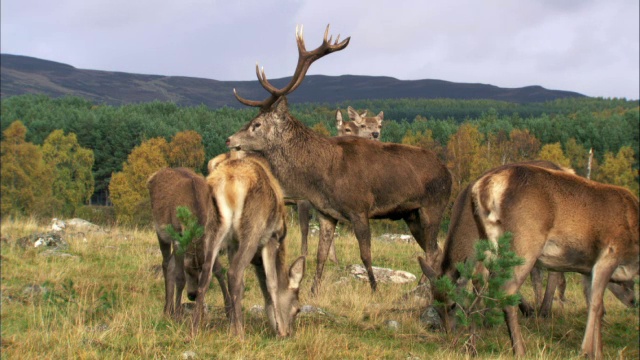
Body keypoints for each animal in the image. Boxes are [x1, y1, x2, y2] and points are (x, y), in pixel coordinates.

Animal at [148, 169, 232, 320]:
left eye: (203, 273)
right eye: (188, 270)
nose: (192, 295)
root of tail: (154, 175)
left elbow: (218, 270)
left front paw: (228, 310)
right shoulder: (178, 237)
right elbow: (180, 277)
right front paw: (177, 314)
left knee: (170, 264)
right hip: (160, 230)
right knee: (165, 264)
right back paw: (167, 309)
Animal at [198, 153, 308, 338]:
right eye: (297, 309)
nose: (289, 333)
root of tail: (228, 180)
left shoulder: (233, 243)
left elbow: (243, 286)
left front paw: (231, 326)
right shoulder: (271, 238)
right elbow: (272, 282)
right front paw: (278, 329)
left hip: (213, 227)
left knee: (207, 272)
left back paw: (195, 330)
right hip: (253, 229)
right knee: (233, 273)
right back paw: (240, 334)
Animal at [428, 165, 636, 358]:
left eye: (452, 305)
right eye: (436, 308)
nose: (634, 300)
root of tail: (486, 187)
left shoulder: (588, 268)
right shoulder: (609, 253)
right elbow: (597, 304)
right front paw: (589, 352)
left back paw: (474, 345)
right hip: (524, 244)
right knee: (507, 290)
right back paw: (519, 346)